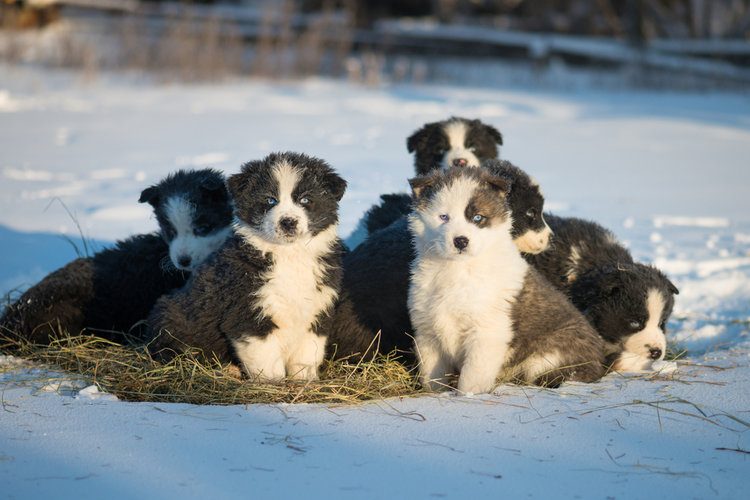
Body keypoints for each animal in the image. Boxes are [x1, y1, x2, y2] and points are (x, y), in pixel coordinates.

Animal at [148, 152, 348, 382]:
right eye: (270, 200)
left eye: (305, 199)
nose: (288, 222)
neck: (288, 256)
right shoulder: (247, 312)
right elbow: (267, 360)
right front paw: (271, 384)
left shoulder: (317, 309)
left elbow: (307, 354)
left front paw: (305, 381)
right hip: (169, 315)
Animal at [408, 168, 608, 394]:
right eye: (443, 217)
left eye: (478, 218)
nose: (460, 241)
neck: (458, 268)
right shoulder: (428, 332)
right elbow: (432, 377)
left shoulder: (486, 333)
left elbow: (471, 378)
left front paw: (467, 396)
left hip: (548, 356)